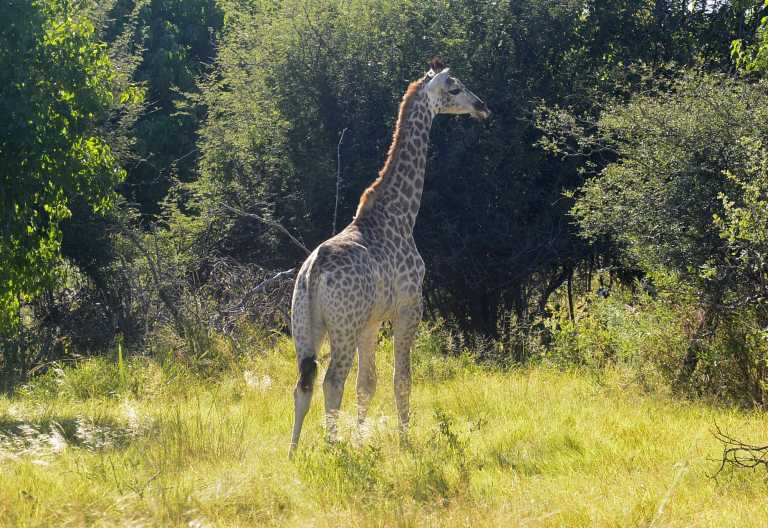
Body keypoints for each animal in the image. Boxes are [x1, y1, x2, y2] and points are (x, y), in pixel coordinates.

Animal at [289, 58, 490, 457]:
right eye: (455, 87)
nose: (482, 107)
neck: (401, 214)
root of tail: (313, 272)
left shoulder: (371, 321)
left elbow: (367, 384)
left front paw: (363, 437)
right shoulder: (409, 307)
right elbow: (402, 378)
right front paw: (404, 439)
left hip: (304, 325)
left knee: (303, 383)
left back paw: (293, 452)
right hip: (342, 326)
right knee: (331, 381)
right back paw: (333, 447)